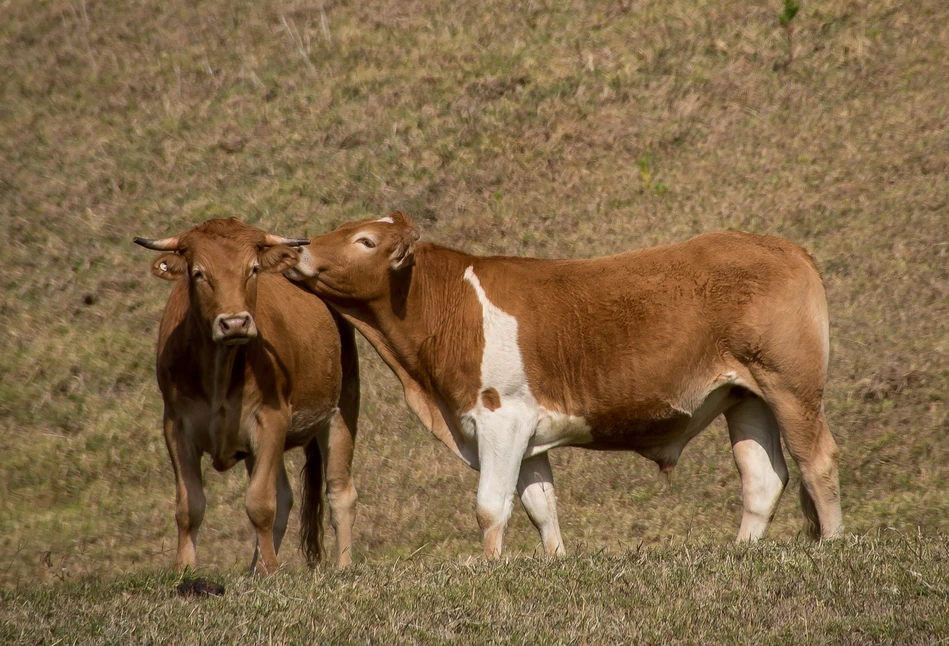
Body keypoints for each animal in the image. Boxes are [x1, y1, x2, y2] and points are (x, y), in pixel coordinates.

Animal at [138, 219, 362, 576]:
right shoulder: (176, 425)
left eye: (253, 269)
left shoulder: (271, 420)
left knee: (340, 492)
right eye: (198, 273)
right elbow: (190, 506)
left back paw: (341, 566)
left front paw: (270, 570)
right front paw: (184, 567)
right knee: (285, 496)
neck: (219, 372)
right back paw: (255, 566)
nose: (234, 323)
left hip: (342, 409)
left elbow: (260, 503)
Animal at [286, 214, 840, 560]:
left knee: (818, 460)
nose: (298, 248)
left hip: (791, 385)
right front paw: (555, 560)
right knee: (763, 478)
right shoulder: (527, 432)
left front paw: (489, 568)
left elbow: (491, 505)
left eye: (364, 241)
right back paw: (743, 551)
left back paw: (834, 544)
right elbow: (540, 505)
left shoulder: (499, 417)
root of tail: (786, 247)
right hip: (746, 396)